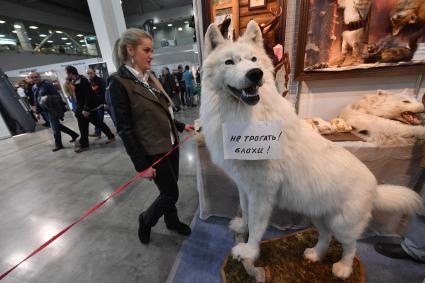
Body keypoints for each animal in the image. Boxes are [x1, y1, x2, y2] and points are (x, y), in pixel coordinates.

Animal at [200, 21, 424, 280]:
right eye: (229, 62)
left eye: (254, 59)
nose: (255, 74)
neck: (245, 116)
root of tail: (376, 188)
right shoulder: (244, 187)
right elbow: (246, 212)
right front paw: (241, 228)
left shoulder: (262, 193)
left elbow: (257, 225)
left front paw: (249, 251)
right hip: (317, 215)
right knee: (325, 237)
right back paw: (315, 255)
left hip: (343, 225)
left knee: (351, 246)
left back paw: (343, 269)